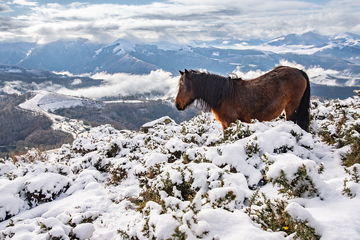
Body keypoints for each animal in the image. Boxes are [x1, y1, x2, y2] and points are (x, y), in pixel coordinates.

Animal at [174, 66, 310, 131]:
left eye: (182, 85)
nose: (177, 105)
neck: (223, 95)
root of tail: (299, 71)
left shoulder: (230, 122)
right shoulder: (225, 125)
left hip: (291, 108)